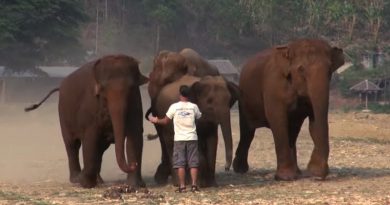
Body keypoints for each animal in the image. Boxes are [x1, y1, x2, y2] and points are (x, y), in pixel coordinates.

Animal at [24, 54, 149, 187]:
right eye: (102, 90)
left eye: (131, 88)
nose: (133, 164)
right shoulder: (90, 109)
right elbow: (90, 139)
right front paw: (85, 183)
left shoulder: (136, 103)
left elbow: (135, 136)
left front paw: (134, 185)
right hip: (63, 115)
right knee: (72, 145)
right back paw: (76, 179)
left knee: (100, 147)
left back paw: (98, 180)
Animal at [232, 38, 344, 181]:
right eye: (301, 69)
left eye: (330, 70)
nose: (320, 175)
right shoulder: (273, 86)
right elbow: (278, 120)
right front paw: (285, 177)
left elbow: (313, 122)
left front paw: (314, 173)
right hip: (244, 100)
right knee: (247, 131)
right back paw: (240, 169)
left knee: (293, 131)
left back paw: (298, 172)